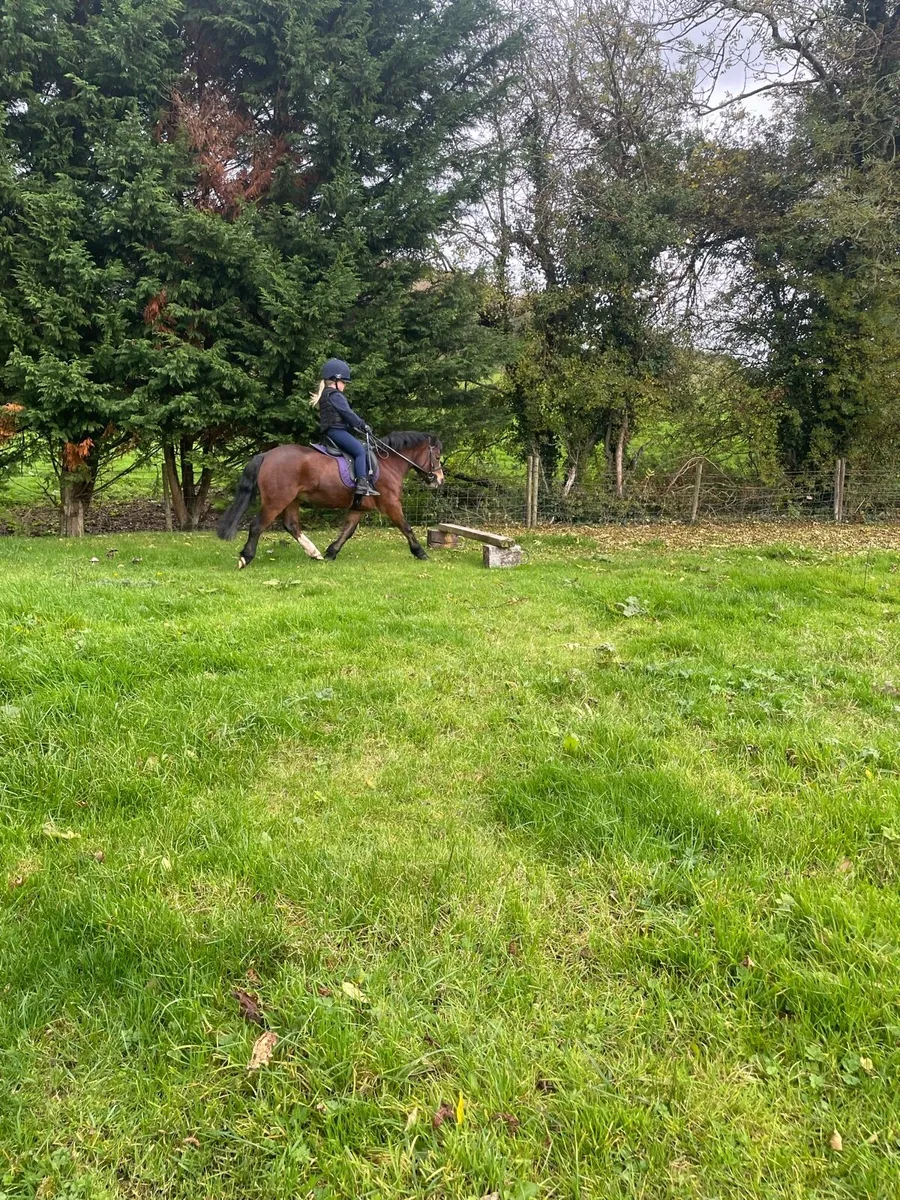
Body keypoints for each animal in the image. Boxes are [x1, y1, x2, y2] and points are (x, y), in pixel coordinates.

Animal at [216, 431, 444, 567]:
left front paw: (331, 552)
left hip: (291, 500)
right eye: (437, 456)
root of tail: (266, 455)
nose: (440, 480)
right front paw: (420, 553)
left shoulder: (358, 508)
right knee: (257, 526)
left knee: (291, 525)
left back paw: (314, 553)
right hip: (276, 501)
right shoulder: (391, 504)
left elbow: (347, 531)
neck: (388, 463)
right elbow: (406, 528)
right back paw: (245, 557)